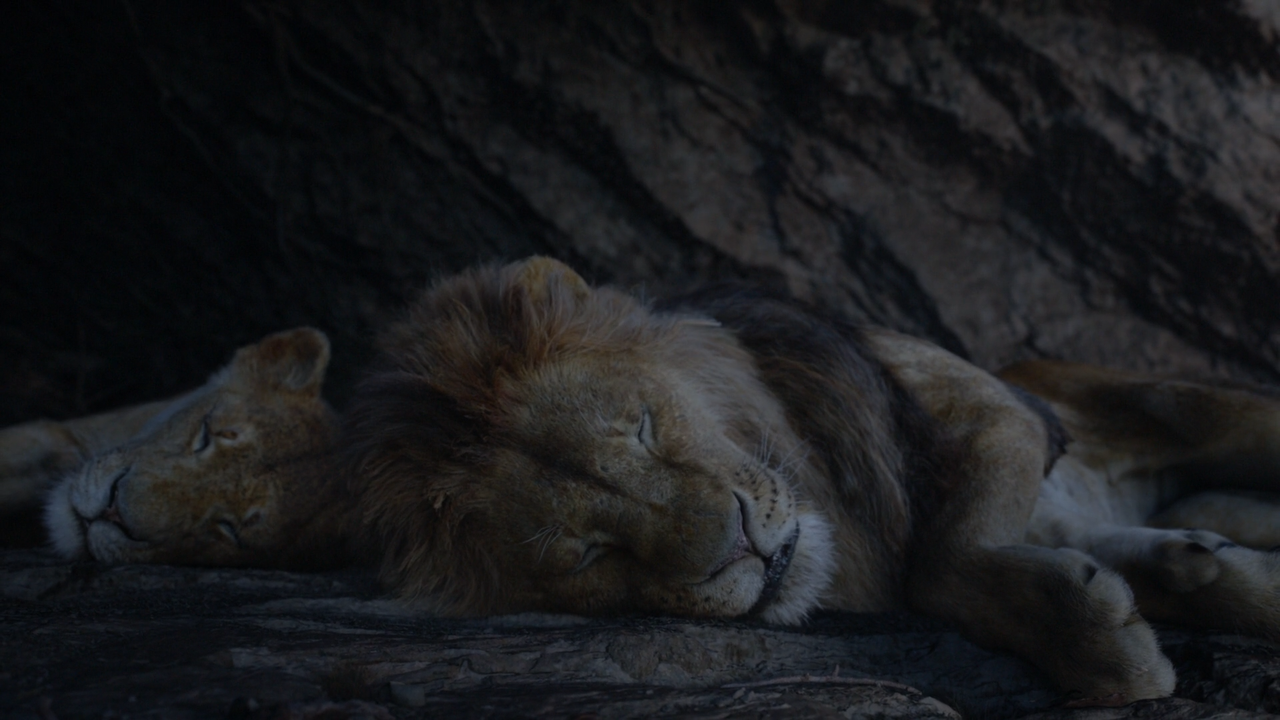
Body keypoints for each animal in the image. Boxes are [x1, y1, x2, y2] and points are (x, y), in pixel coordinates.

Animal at [343, 257, 1280, 704]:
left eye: (642, 426)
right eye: (585, 554)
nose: (740, 551)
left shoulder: (994, 405)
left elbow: (940, 558)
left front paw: (1100, 638)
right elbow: (939, 573)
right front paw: (1104, 630)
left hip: (1188, 402)